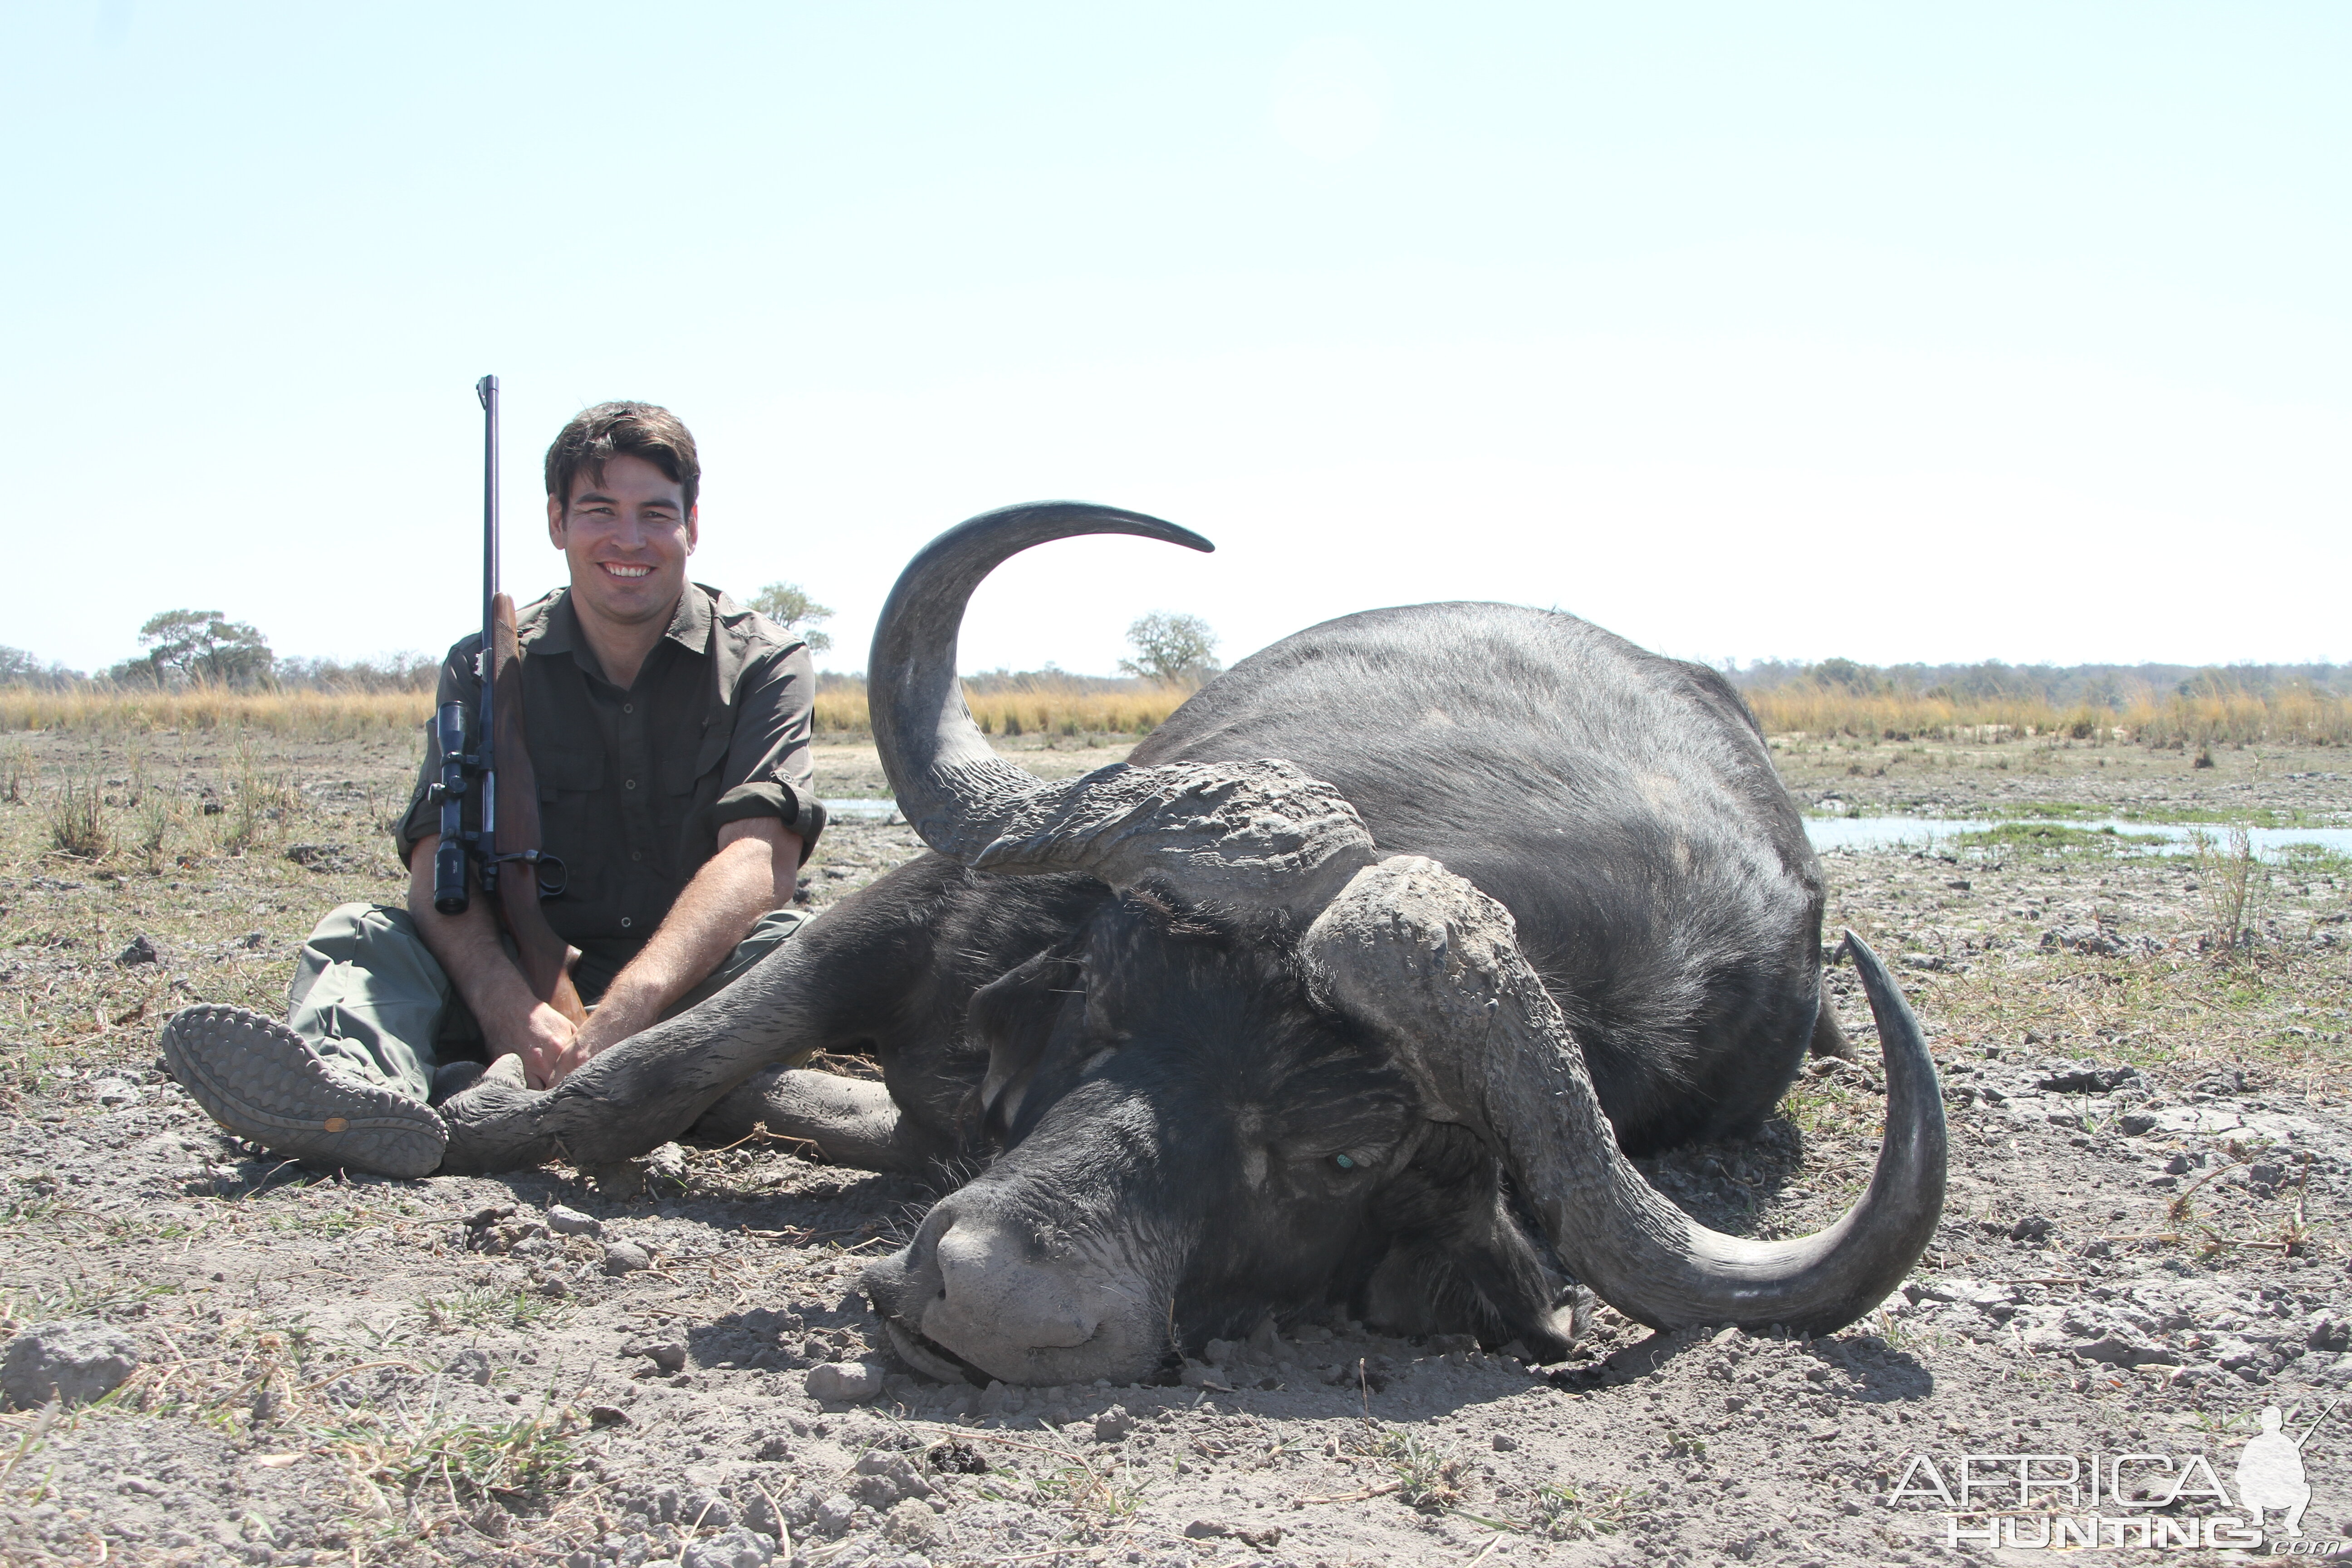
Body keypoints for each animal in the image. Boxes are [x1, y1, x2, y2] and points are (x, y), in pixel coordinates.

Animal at [442, 503, 1947, 1382]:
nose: (997, 1303)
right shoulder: (921, 910)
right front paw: (458, 1123)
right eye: (1106, 1012)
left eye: (1343, 1158)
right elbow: (650, 1067)